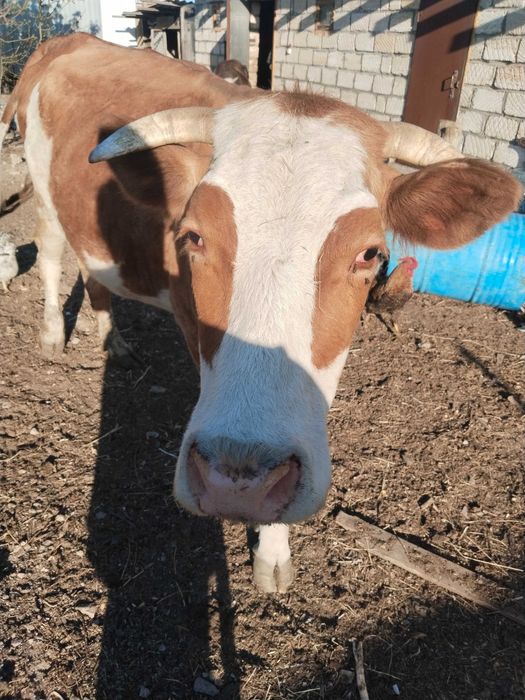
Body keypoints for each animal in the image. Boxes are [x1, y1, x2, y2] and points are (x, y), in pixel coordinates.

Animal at [2, 33, 520, 592]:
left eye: (370, 254)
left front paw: (272, 551)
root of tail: (67, 41)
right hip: (44, 192)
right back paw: (53, 335)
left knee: (93, 270)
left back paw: (111, 341)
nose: (236, 483)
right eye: (192, 236)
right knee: (51, 256)